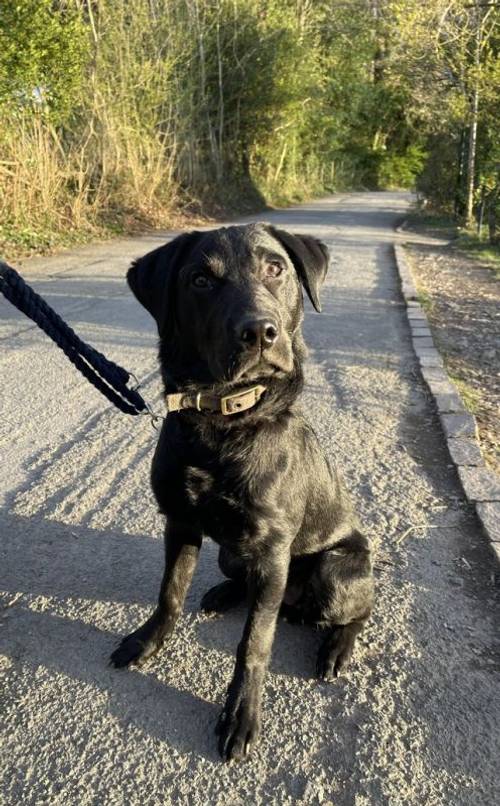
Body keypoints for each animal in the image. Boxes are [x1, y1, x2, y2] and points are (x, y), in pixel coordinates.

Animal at [111, 223, 374, 764]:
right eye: (200, 280)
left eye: (276, 268)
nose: (260, 332)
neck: (222, 423)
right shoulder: (181, 523)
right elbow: (169, 594)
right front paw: (148, 642)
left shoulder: (272, 550)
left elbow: (254, 644)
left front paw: (241, 714)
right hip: (233, 554)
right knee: (251, 586)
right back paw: (225, 592)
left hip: (335, 570)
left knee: (357, 611)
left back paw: (337, 649)